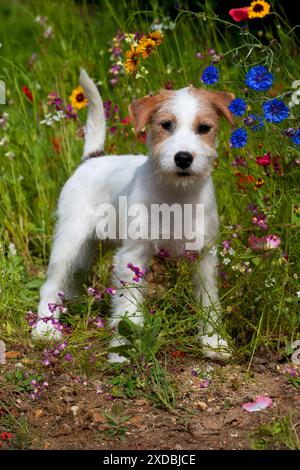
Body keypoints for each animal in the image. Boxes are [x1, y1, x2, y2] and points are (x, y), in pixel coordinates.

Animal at [32, 70, 234, 364]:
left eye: (204, 128)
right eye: (166, 125)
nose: (183, 158)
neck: (176, 194)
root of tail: (92, 158)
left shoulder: (204, 256)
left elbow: (209, 302)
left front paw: (213, 341)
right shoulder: (133, 256)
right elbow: (128, 306)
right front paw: (122, 352)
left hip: (91, 246)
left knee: (74, 276)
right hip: (69, 240)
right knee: (51, 283)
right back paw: (45, 328)